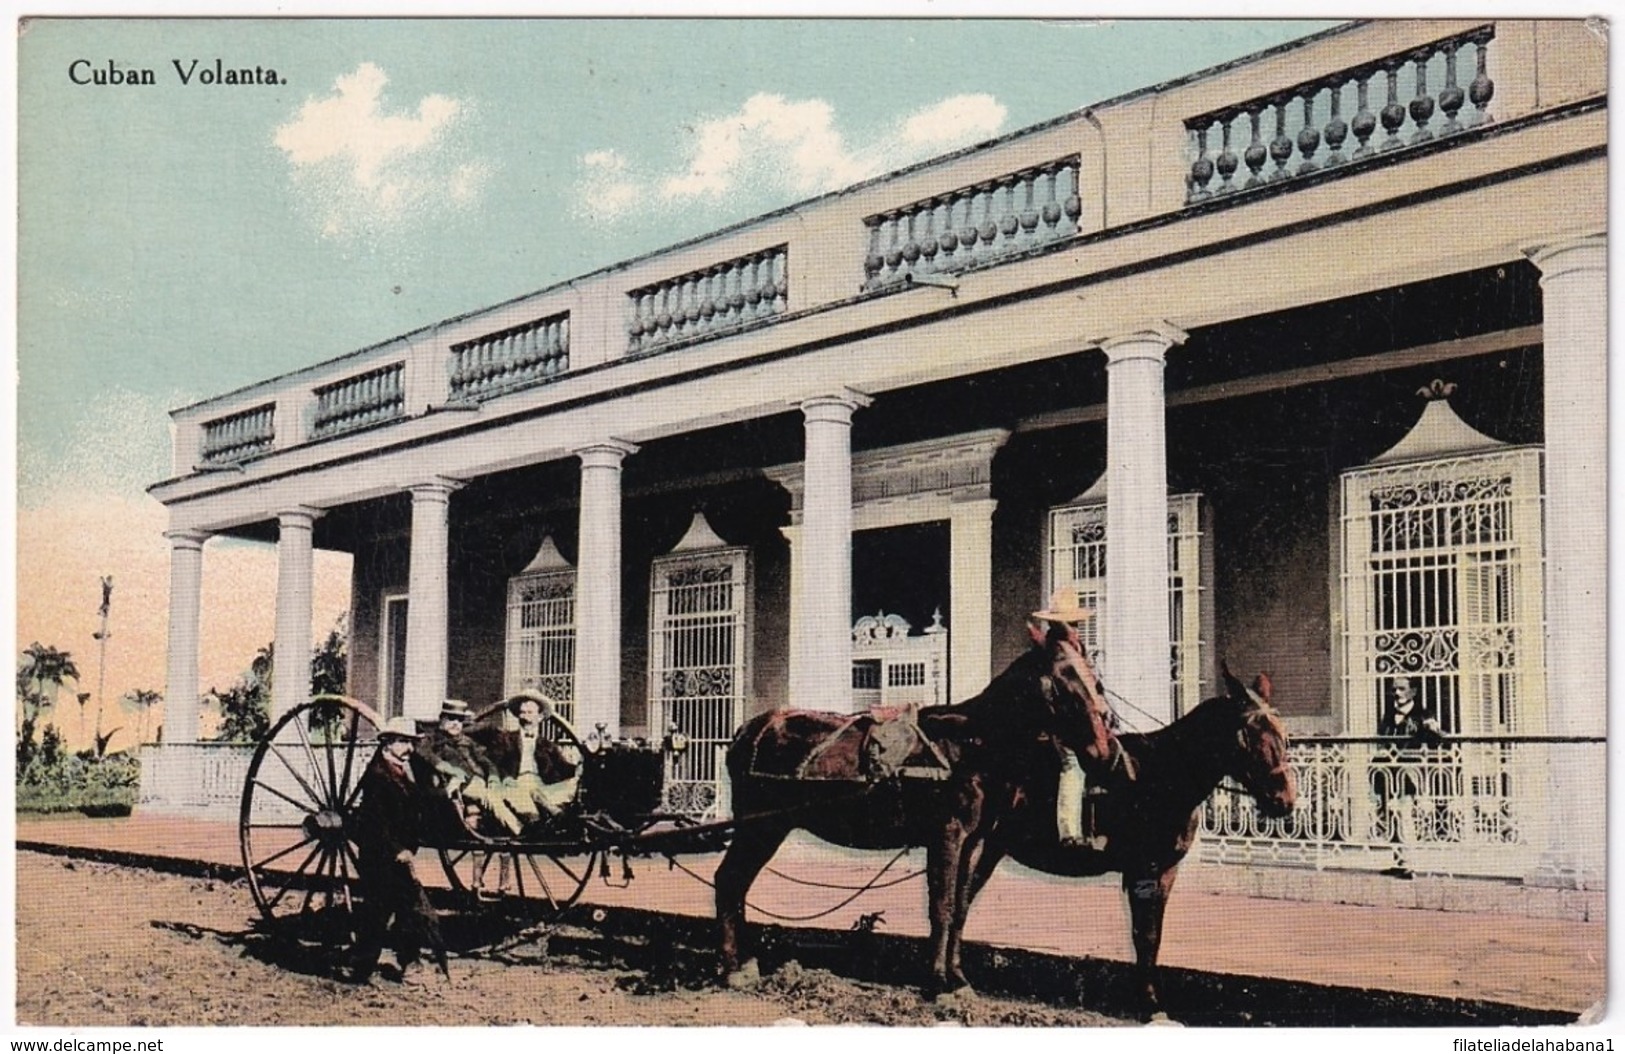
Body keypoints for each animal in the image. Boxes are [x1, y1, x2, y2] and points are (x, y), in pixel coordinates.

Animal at [718, 620, 1124, 1000]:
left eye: (1095, 679)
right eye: (1062, 681)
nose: (1103, 751)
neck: (970, 746)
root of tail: (746, 730)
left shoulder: (973, 841)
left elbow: (961, 906)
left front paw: (958, 978)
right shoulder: (946, 834)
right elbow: (941, 905)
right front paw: (938, 982)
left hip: (767, 828)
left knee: (737, 884)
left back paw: (744, 963)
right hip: (759, 827)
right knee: (729, 881)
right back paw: (733, 968)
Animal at [962, 665, 1293, 1019]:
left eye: (1283, 733)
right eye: (1249, 734)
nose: (1285, 801)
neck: (1163, 774)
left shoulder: (1165, 872)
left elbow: (1153, 936)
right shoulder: (1144, 870)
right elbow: (1144, 935)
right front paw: (1151, 1005)